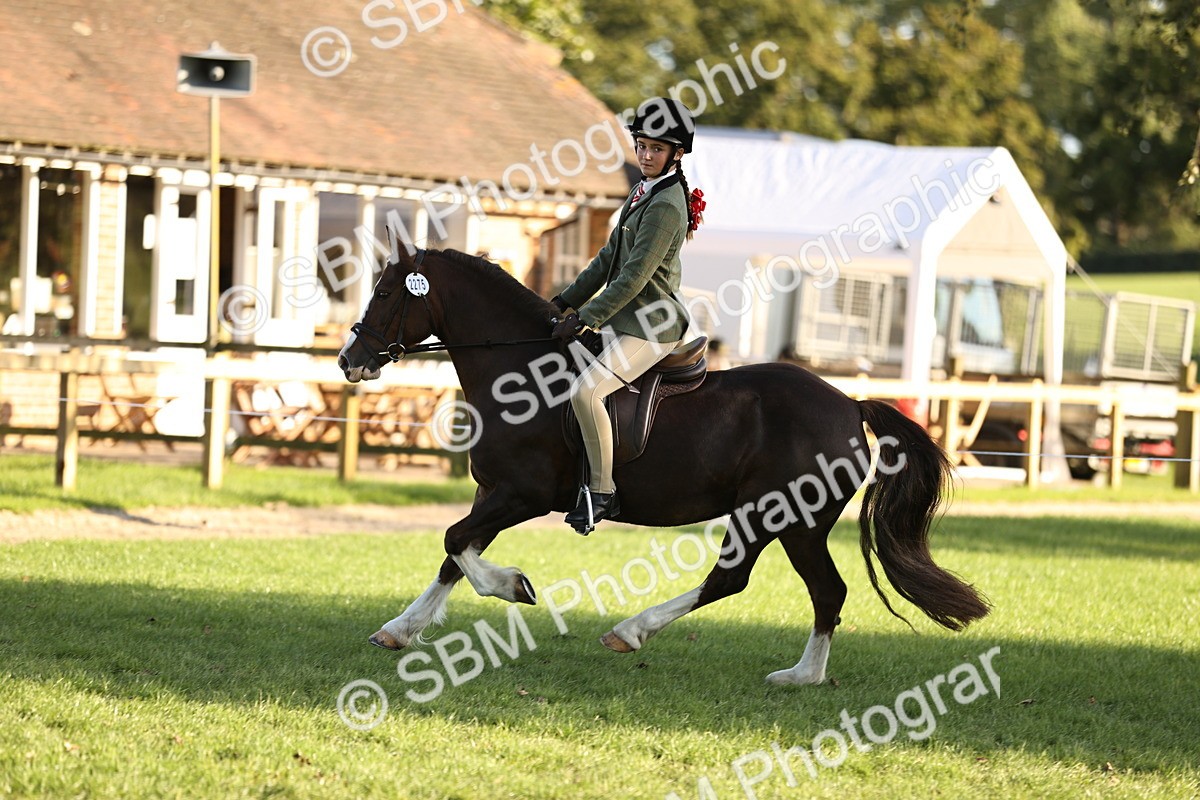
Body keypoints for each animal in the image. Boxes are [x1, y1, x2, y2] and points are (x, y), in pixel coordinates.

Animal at [337, 247, 990, 685]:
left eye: (387, 293)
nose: (349, 359)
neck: (521, 371)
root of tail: (851, 404)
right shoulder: (494, 493)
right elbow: (455, 552)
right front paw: (400, 629)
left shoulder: (524, 493)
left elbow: (457, 541)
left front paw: (514, 585)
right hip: (775, 521)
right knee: (771, 584)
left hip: (785, 519)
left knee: (783, 586)